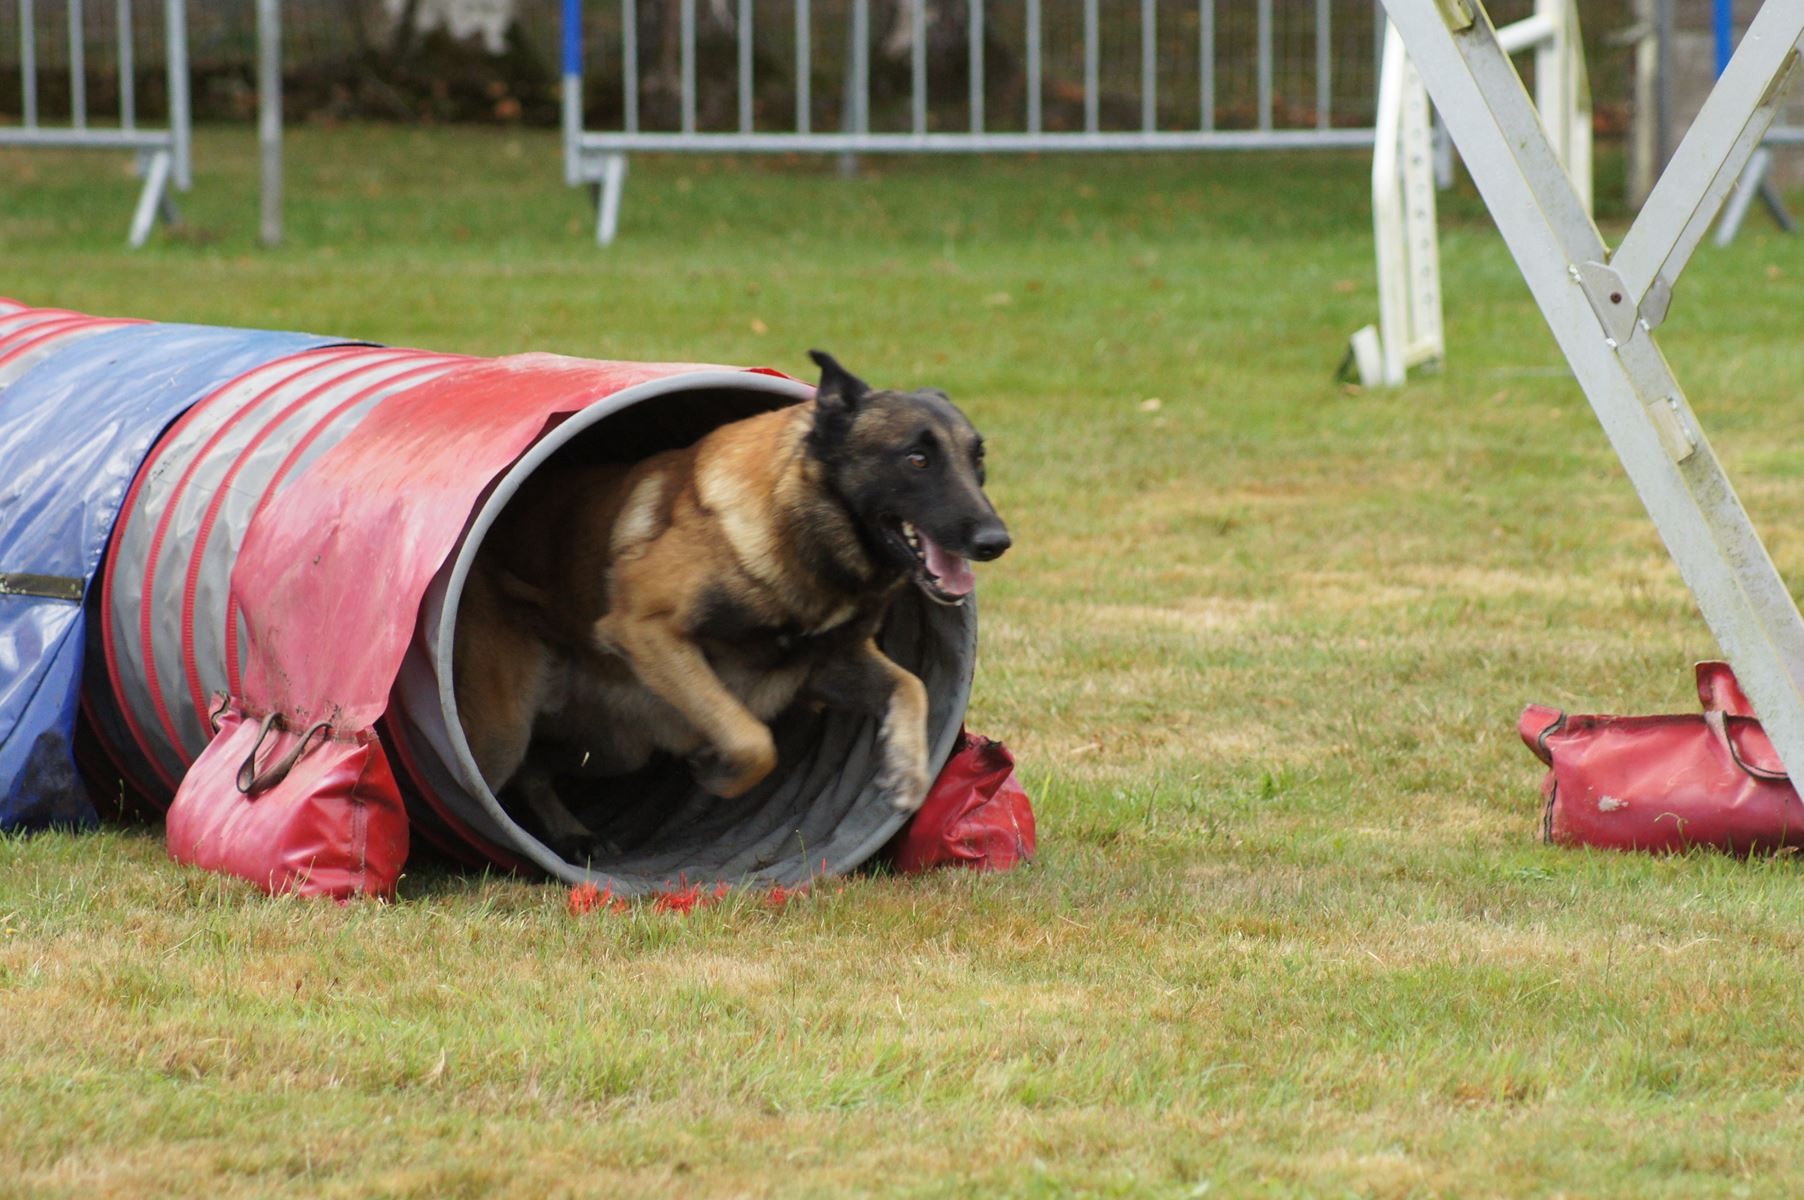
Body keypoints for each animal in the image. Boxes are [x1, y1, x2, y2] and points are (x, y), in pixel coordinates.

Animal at [451, 351, 1010, 855]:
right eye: (917, 459)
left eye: (978, 459)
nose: (995, 541)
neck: (799, 535)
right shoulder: (647, 629)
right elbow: (752, 740)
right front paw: (720, 774)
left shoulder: (831, 663)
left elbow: (912, 686)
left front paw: (907, 768)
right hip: (506, 733)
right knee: (502, 772)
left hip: (617, 747)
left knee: (537, 769)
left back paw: (572, 833)